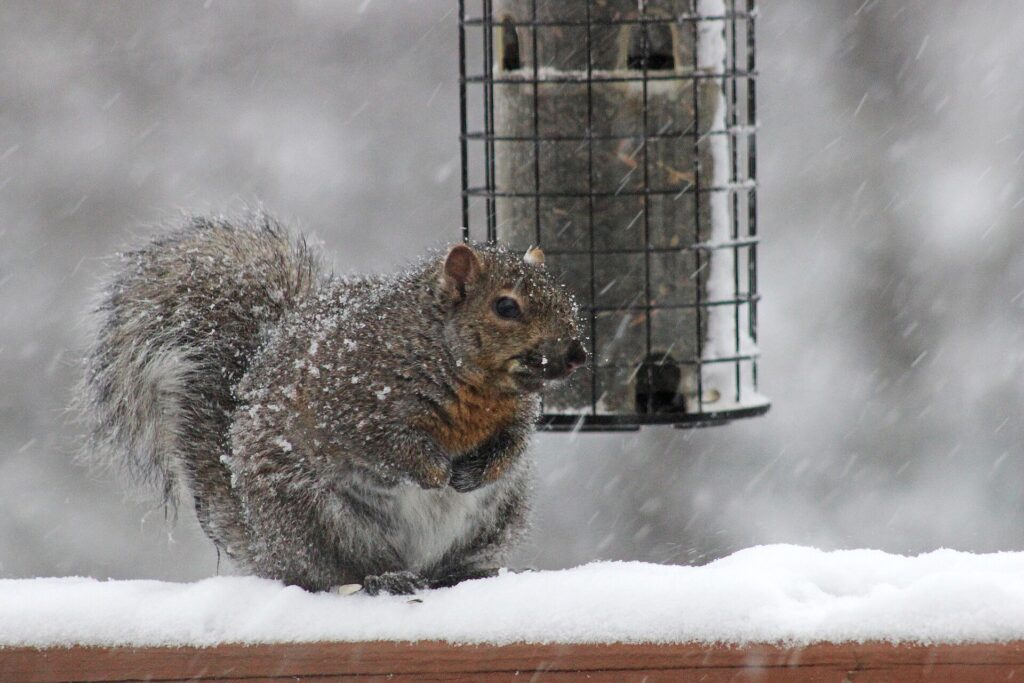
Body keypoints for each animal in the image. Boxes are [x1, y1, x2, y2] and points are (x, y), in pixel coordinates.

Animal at [81, 213, 585, 595]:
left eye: (564, 297)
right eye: (506, 307)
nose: (576, 354)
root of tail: (266, 547)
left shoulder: (515, 418)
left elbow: (510, 448)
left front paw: (474, 472)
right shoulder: (354, 403)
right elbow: (389, 448)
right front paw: (437, 471)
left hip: (496, 517)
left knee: (449, 566)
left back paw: (471, 572)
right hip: (321, 521)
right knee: (341, 574)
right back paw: (385, 578)